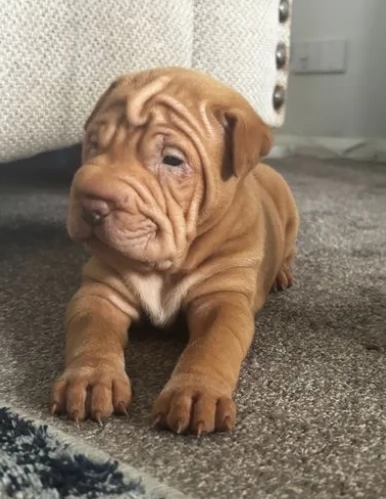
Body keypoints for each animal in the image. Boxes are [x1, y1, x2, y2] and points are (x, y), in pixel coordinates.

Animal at [51, 66, 298, 434]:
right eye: (94, 143)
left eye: (172, 160)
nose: (91, 203)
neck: (164, 265)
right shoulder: (99, 293)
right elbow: (91, 332)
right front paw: (91, 379)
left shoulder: (222, 301)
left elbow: (212, 346)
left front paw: (194, 393)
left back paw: (281, 274)